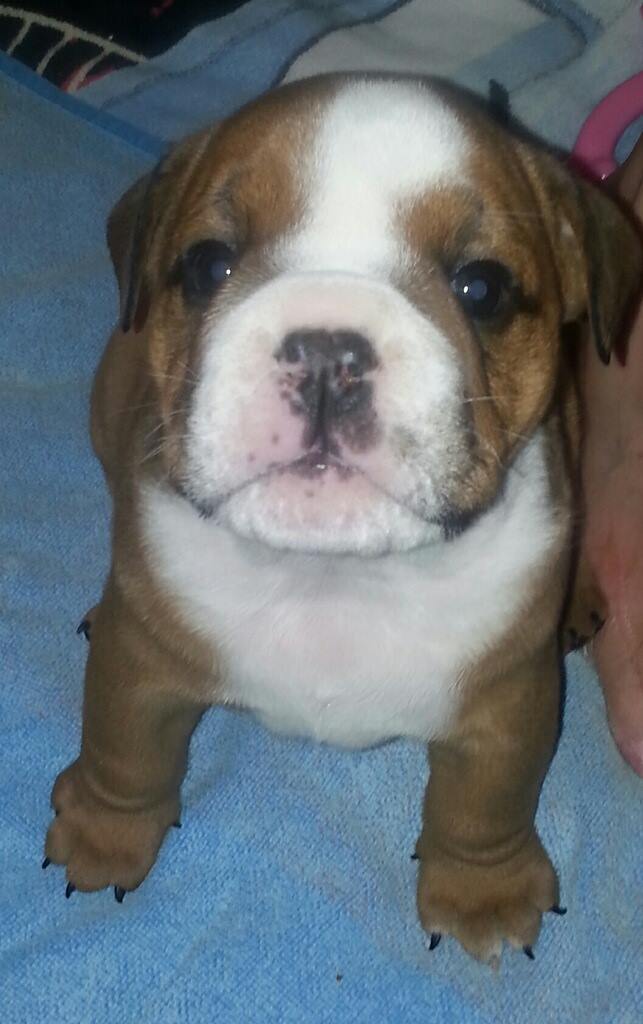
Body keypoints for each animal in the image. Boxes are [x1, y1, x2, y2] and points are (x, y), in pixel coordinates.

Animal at [44, 74, 641, 965]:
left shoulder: (506, 702)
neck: (332, 572)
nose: (327, 350)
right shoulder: (138, 663)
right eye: (208, 265)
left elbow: (484, 807)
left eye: (482, 287)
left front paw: (483, 893)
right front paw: (103, 833)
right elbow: (124, 751)